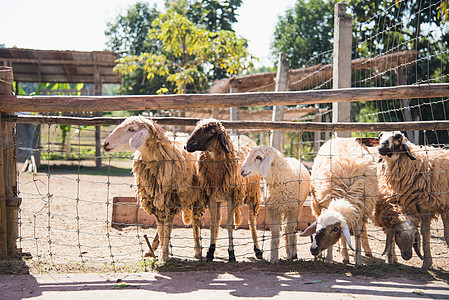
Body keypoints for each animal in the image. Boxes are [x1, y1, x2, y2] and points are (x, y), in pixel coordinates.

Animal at [102, 116, 204, 262]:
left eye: (131, 129)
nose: (105, 144)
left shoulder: (170, 199)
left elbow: (167, 226)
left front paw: (164, 255)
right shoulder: (155, 199)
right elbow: (161, 226)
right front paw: (162, 251)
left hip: (197, 195)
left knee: (195, 221)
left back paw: (197, 251)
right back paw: (152, 249)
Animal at [185, 118, 262, 262]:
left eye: (212, 131)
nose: (187, 145)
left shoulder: (232, 197)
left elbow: (229, 224)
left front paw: (231, 253)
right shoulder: (212, 197)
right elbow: (213, 224)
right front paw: (210, 251)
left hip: (252, 192)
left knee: (251, 220)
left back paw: (258, 250)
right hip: (219, 198)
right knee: (219, 220)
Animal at [300, 137, 376, 266]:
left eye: (335, 229)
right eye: (318, 224)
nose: (313, 249)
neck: (344, 198)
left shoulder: (360, 212)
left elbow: (357, 235)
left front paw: (358, 262)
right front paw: (329, 258)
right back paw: (343, 254)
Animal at [374, 131, 448, 270]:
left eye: (398, 138)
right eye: (380, 136)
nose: (381, 148)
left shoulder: (431, 207)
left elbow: (430, 234)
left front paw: (427, 263)